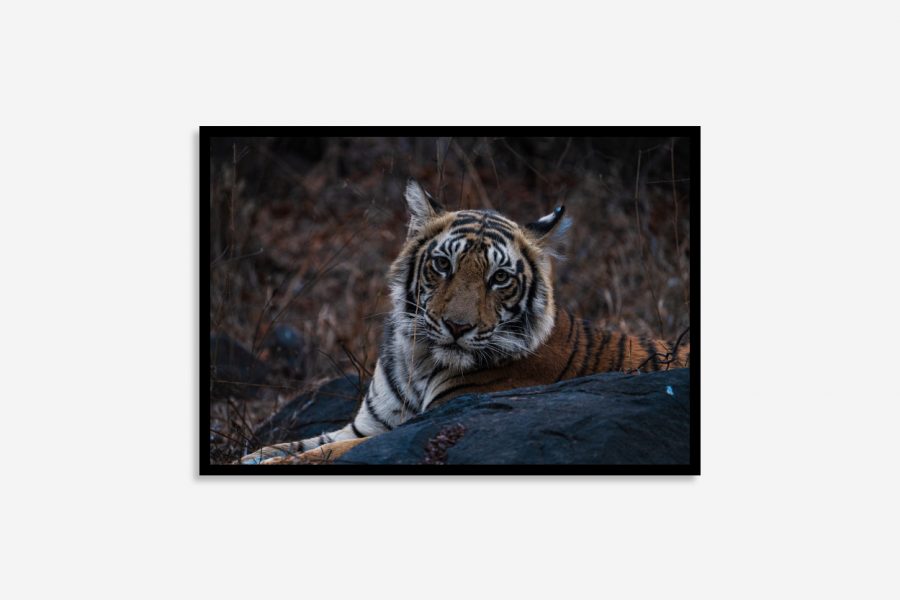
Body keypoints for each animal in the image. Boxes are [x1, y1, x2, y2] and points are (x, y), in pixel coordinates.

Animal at [240, 179, 689, 464]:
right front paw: (255, 454)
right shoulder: (366, 427)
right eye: (443, 265)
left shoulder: (423, 424)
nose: (458, 327)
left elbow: (317, 455)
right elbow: (292, 445)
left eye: (500, 278)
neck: (417, 360)